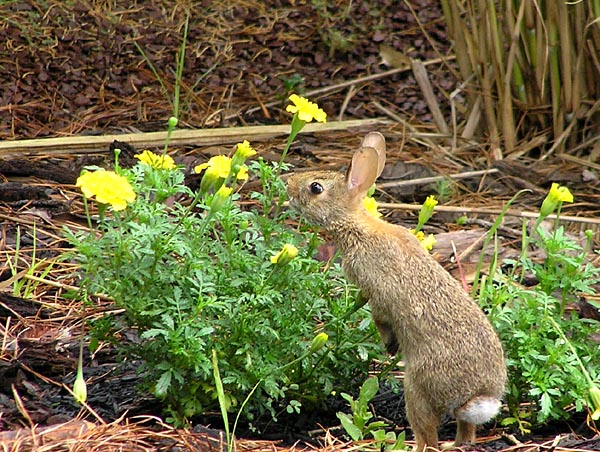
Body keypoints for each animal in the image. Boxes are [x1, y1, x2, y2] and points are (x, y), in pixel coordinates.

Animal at [286, 132, 506, 452]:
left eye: (316, 188)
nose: (287, 182)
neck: (357, 227)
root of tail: (477, 395)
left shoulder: (376, 291)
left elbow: (380, 318)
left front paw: (389, 346)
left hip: (417, 387)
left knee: (427, 434)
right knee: (466, 432)